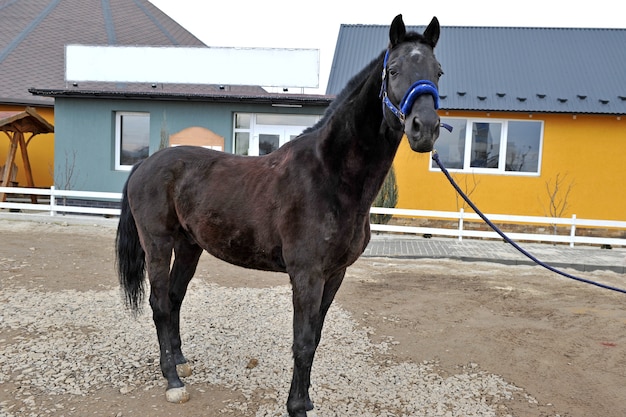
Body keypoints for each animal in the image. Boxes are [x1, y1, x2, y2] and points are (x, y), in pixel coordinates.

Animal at [116, 14, 438, 414]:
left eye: (438, 72)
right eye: (393, 70)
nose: (425, 128)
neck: (330, 175)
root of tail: (144, 163)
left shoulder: (335, 274)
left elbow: (315, 337)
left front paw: (308, 399)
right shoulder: (306, 275)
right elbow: (302, 341)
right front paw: (296, 405)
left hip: (189, 246)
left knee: (175, 299)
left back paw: (180, 362)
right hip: (158, 245)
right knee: (160, 304)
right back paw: (173, 381)